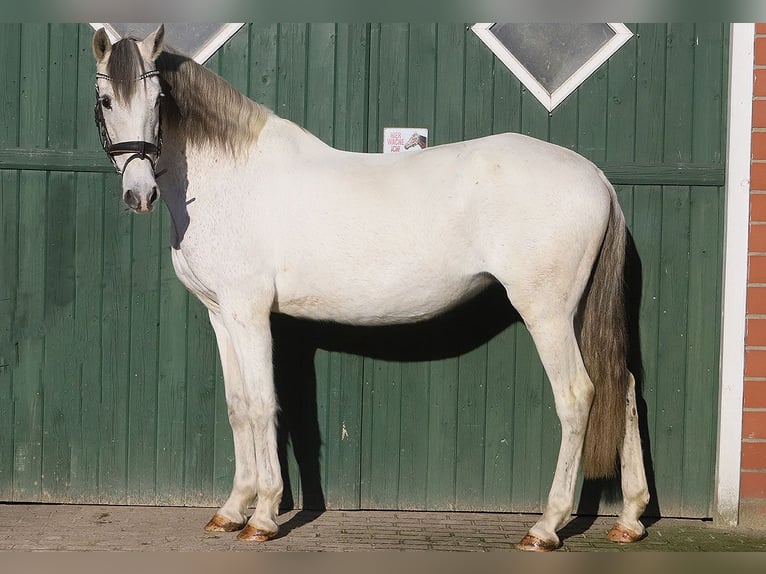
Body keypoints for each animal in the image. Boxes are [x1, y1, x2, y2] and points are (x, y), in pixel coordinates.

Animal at [93, 27, 652, 552]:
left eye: (157, 99)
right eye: (105, 100)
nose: (139, 193)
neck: (232, 181)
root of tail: (596, 177)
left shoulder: (249, 314)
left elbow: (262, 406)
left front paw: (263, 517)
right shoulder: (221, 315)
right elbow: (237, 407)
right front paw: (230, 511)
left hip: (547, 312)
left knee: (578, 396)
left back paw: (546, 527)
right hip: (577, 313)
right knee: (621, 387)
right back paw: (628, 520)